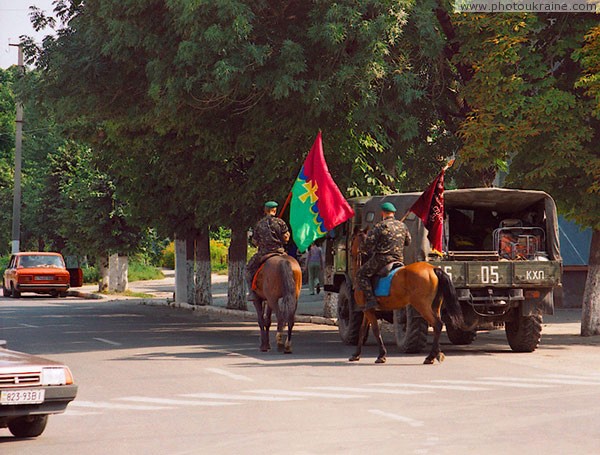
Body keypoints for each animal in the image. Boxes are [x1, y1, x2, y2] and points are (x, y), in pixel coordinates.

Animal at [350, 230, 462, 366]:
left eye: (353, 239)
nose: (349, 251)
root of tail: (433, 268)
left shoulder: (367, 310)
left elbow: (376, 330)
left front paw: (381, 355)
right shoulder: (368, 309)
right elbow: (362, 331)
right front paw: (356, 354)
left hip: (422, 306)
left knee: (437, 324)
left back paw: (430, 356)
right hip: (436, 306)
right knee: (437, 326)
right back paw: (437, 353)